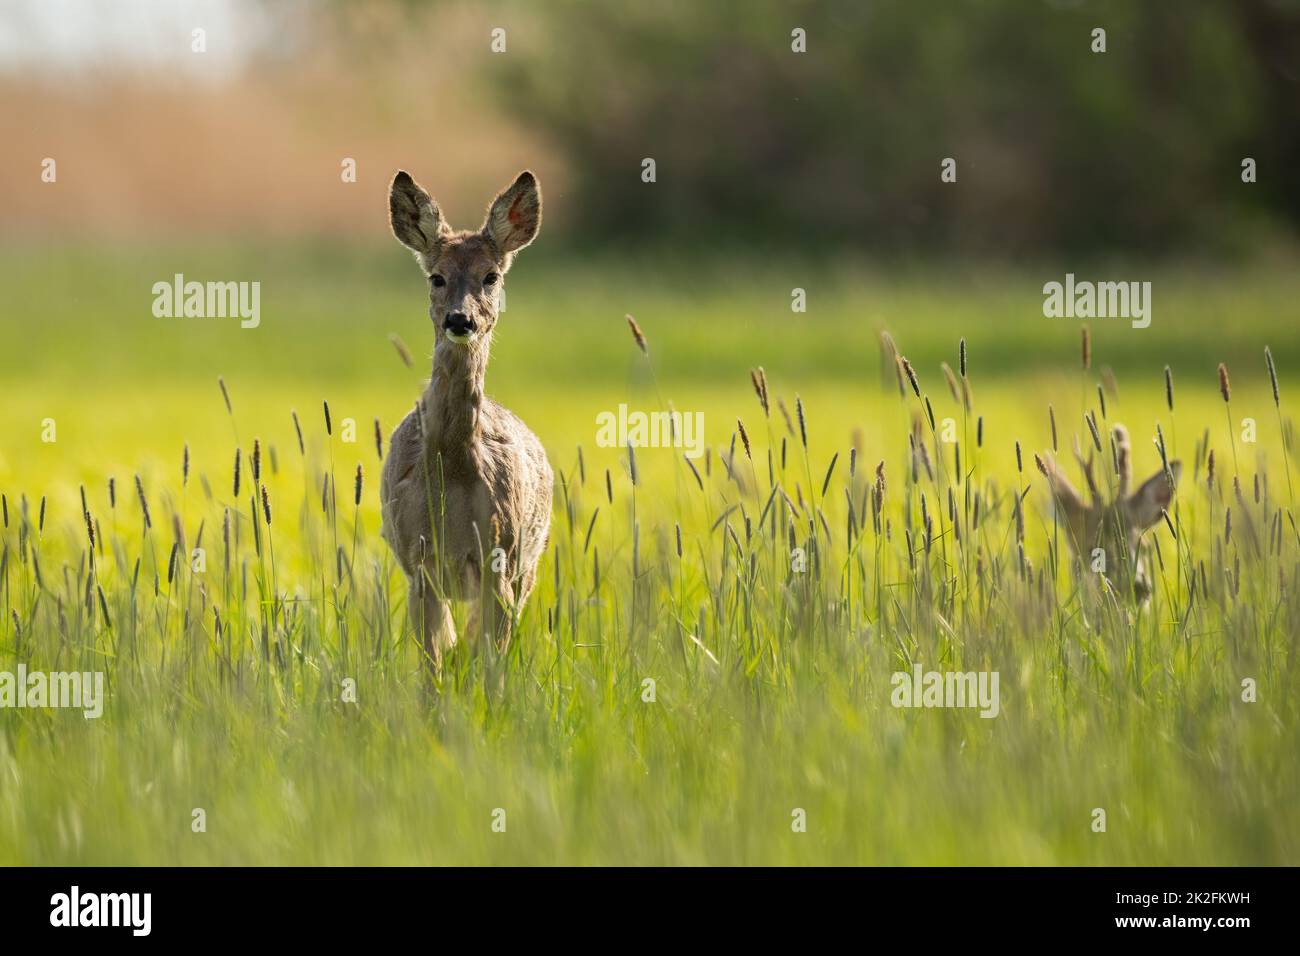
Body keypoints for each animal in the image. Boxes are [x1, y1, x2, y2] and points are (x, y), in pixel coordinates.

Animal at [380, 169, 553, 669]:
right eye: (436, 277)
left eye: (491, 276)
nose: (461, 320)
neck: (454, 468)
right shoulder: (419, 565)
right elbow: (431, 665)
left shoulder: (502, 559)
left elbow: (489, 665)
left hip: (527, 566)